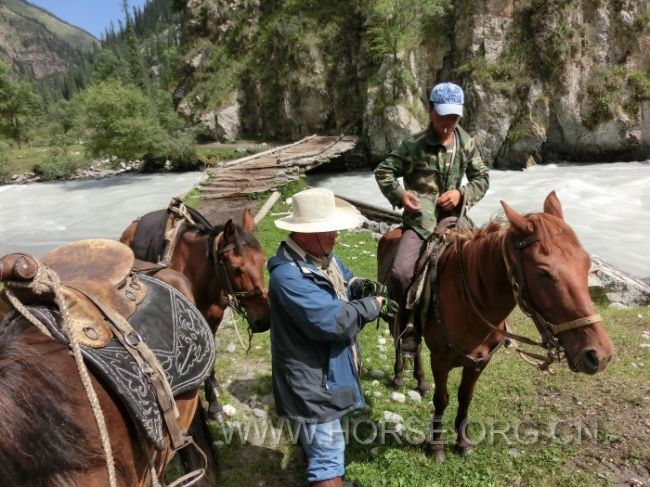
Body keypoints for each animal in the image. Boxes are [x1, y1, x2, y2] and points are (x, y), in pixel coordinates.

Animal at [119, 208, 268, 418]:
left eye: (263, 261)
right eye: (236, 268)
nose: (264, 320)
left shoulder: (214, 318)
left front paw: (213, 394)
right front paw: (213, 405)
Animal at [378, 193, 612, 464]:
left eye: (586, 264)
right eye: (543, 272)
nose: (599, 355)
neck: (470, 303)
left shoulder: (479, 362)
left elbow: (465, 398)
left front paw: (463, 443)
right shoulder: (440, 361)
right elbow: (442, 399)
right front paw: (436, 447)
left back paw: (421, 382)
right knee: (401, 340)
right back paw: (398, 376)